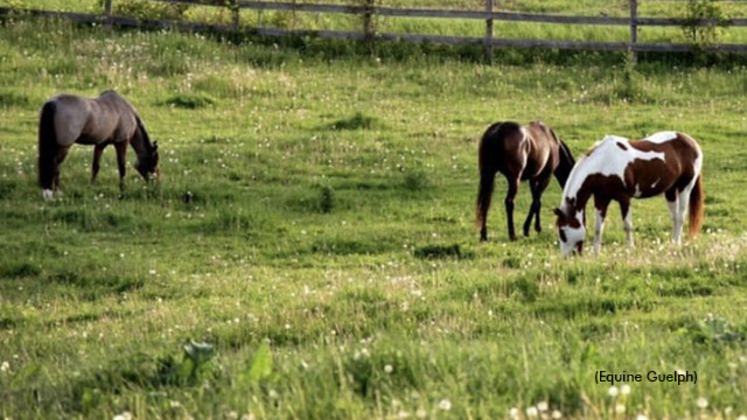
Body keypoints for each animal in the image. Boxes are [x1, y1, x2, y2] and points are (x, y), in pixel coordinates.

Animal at [556, 131, 708, 256]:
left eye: (562, 232)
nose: (566, 257)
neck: (603, 162)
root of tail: (692, 143)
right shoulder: (601, 199)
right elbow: (598, 227)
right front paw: (596, 253)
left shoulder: (624, 198)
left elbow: (627, 226)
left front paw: (630, 249)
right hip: (670, 191)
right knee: (675, 217)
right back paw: (673, 243)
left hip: (685, 188)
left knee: (681, 216)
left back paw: (677, 244)